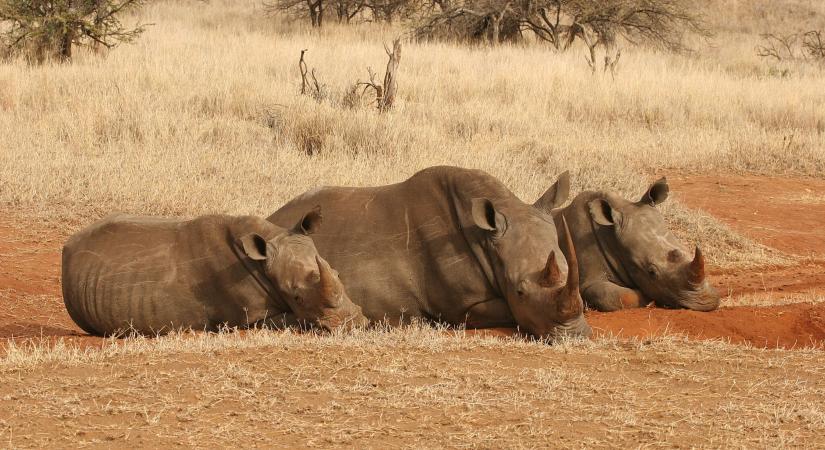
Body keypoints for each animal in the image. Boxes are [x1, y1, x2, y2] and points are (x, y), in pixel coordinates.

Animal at [536, 178, 716, 312]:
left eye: (687, 251)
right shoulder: (588, 280)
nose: (706, 302)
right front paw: (647, 299)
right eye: (651, 272)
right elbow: (614, 296)